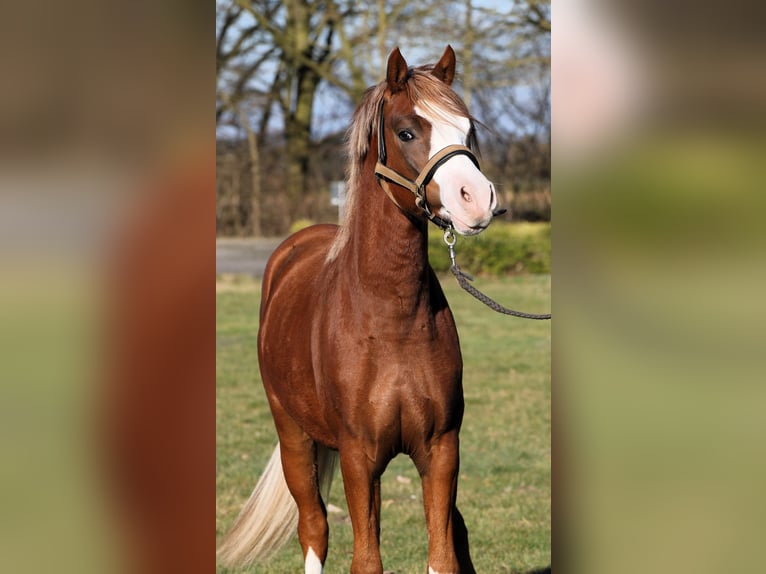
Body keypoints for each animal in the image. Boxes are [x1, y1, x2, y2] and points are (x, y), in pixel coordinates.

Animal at [219, 46, 500, 574]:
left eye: (467, 130)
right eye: (407, 131)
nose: (477, 201)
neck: (392, 320)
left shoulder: (442, 450)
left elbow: (443, 553)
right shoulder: (357, 454)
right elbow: (364, 559)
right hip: (294, 438)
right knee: (314, 529)